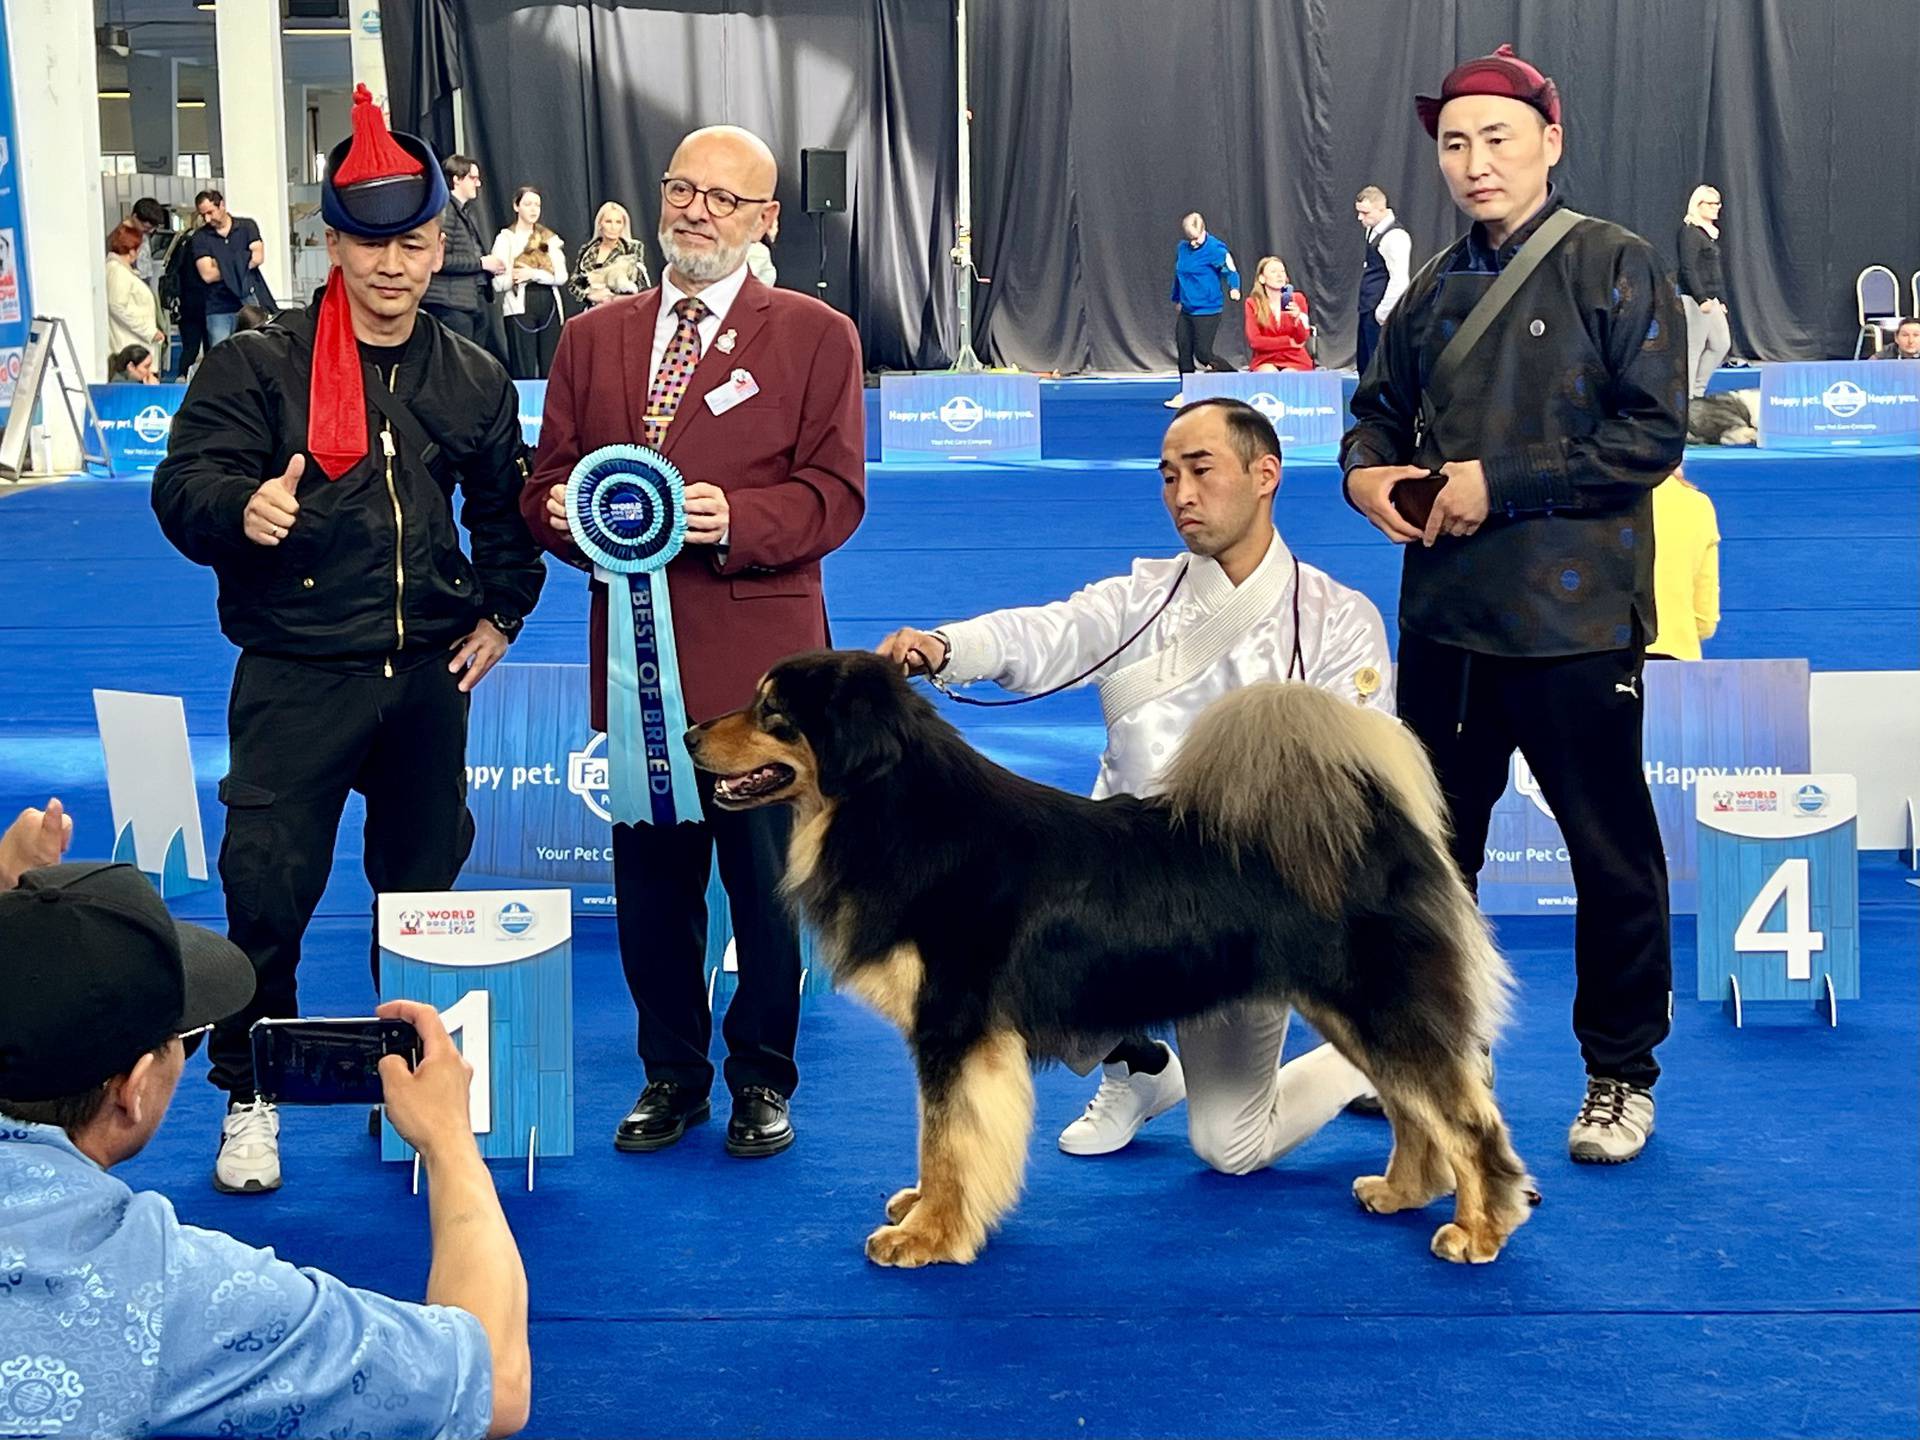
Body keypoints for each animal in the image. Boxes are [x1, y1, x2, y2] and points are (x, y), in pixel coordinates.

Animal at [683, 648, 1536, 1267]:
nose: (688, 735)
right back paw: (1402, 1191)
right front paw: (924, 1210)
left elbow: (950, 1142)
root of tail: (1380, 819)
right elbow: (941, 1141)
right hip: (1354, 1013)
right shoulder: (953, 1037)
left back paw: (1482, 1228)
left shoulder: (956, 1031)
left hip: (1383, 1007)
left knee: (1467, 1121)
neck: (896, 816)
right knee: (1414, 1109)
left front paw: (929, 1236)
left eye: (773, 713)